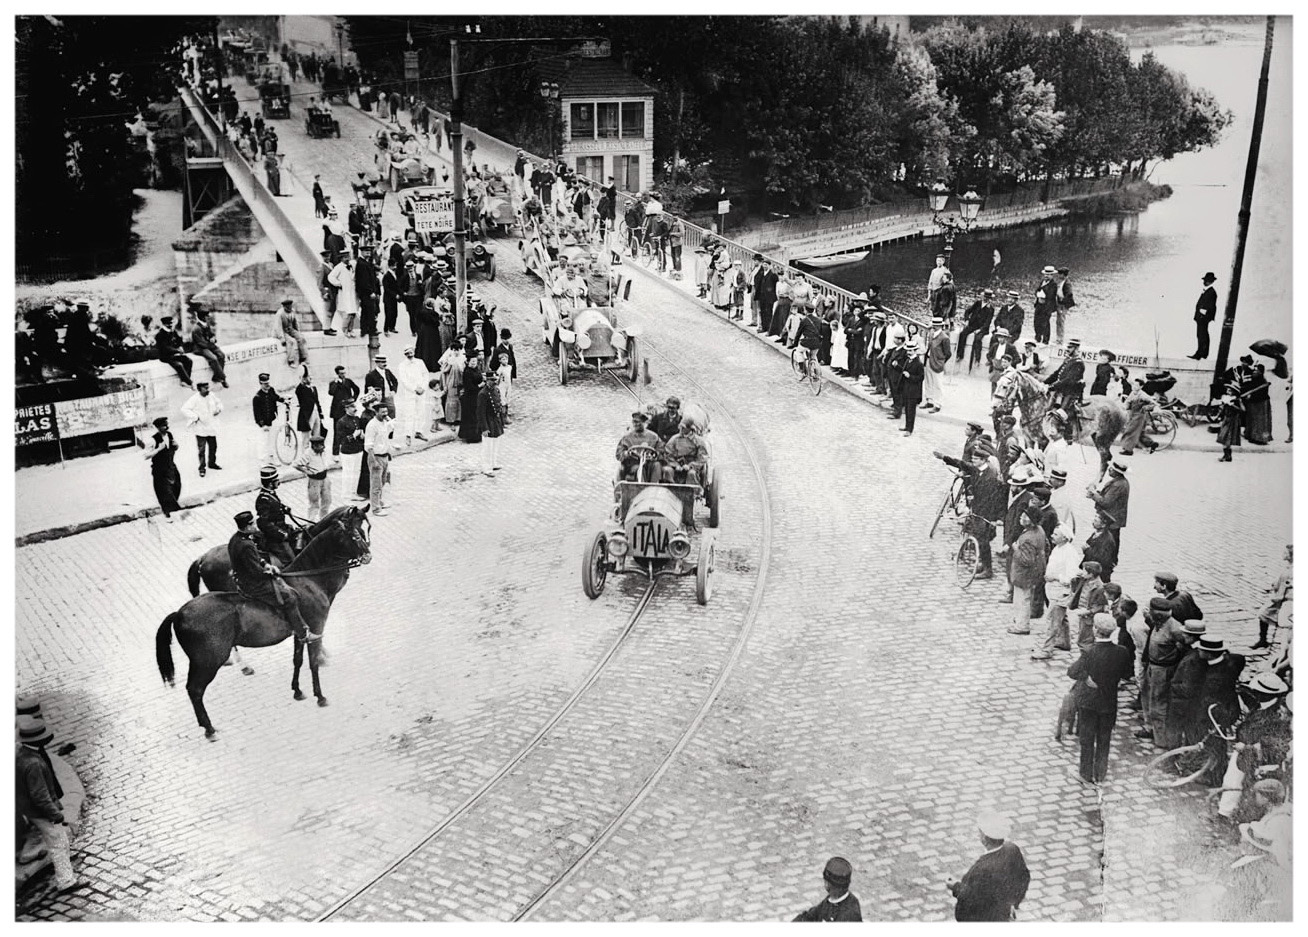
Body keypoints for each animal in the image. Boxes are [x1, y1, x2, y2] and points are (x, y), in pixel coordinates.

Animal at [160, 502, 374, 738]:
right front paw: (320, 696)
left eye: (366, 528)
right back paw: (210, 727)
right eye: (355, 534)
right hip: (207, 661)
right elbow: (313, 662)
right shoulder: (316, 627)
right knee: (195, 690)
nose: (368, 555)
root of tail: (179, 613)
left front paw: (297, 690)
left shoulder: (299, 633)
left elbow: (297, 660)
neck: (307, 578)